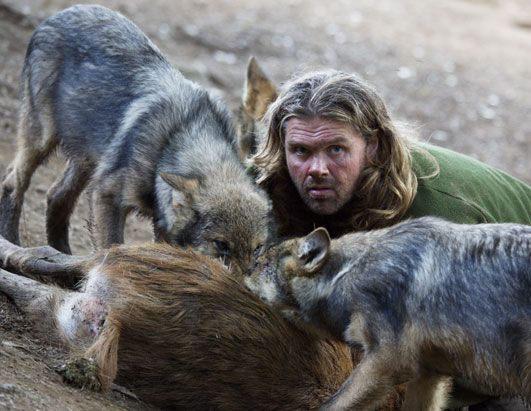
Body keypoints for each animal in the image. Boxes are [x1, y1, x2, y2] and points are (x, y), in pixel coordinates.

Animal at [0, 5, 270, 274]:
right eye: (221, 245)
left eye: (257, 248)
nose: (243, 281)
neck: (181, 137)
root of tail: (63, 12)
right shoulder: (106, 195)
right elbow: (111, 247)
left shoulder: (162, 225)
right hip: (43, 140)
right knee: (13, 180)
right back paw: (14, 243)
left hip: (88, 161)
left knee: (56, 195)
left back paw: (62, 256)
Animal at [244, 217, 531, 410]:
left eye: (258, 264)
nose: (239, 272)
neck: (347, 274)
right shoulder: (428, 375)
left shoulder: (386, 360)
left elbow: (330, 406)